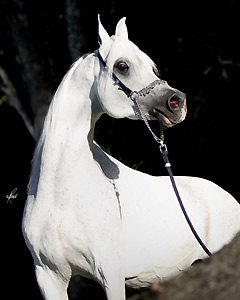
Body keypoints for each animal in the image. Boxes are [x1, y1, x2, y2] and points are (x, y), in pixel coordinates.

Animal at [22, 17, 240, 300]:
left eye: (152, 66)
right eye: (122, 66)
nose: (177, 103)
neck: (60, 193)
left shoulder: (111, 274)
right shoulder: (49, 277)